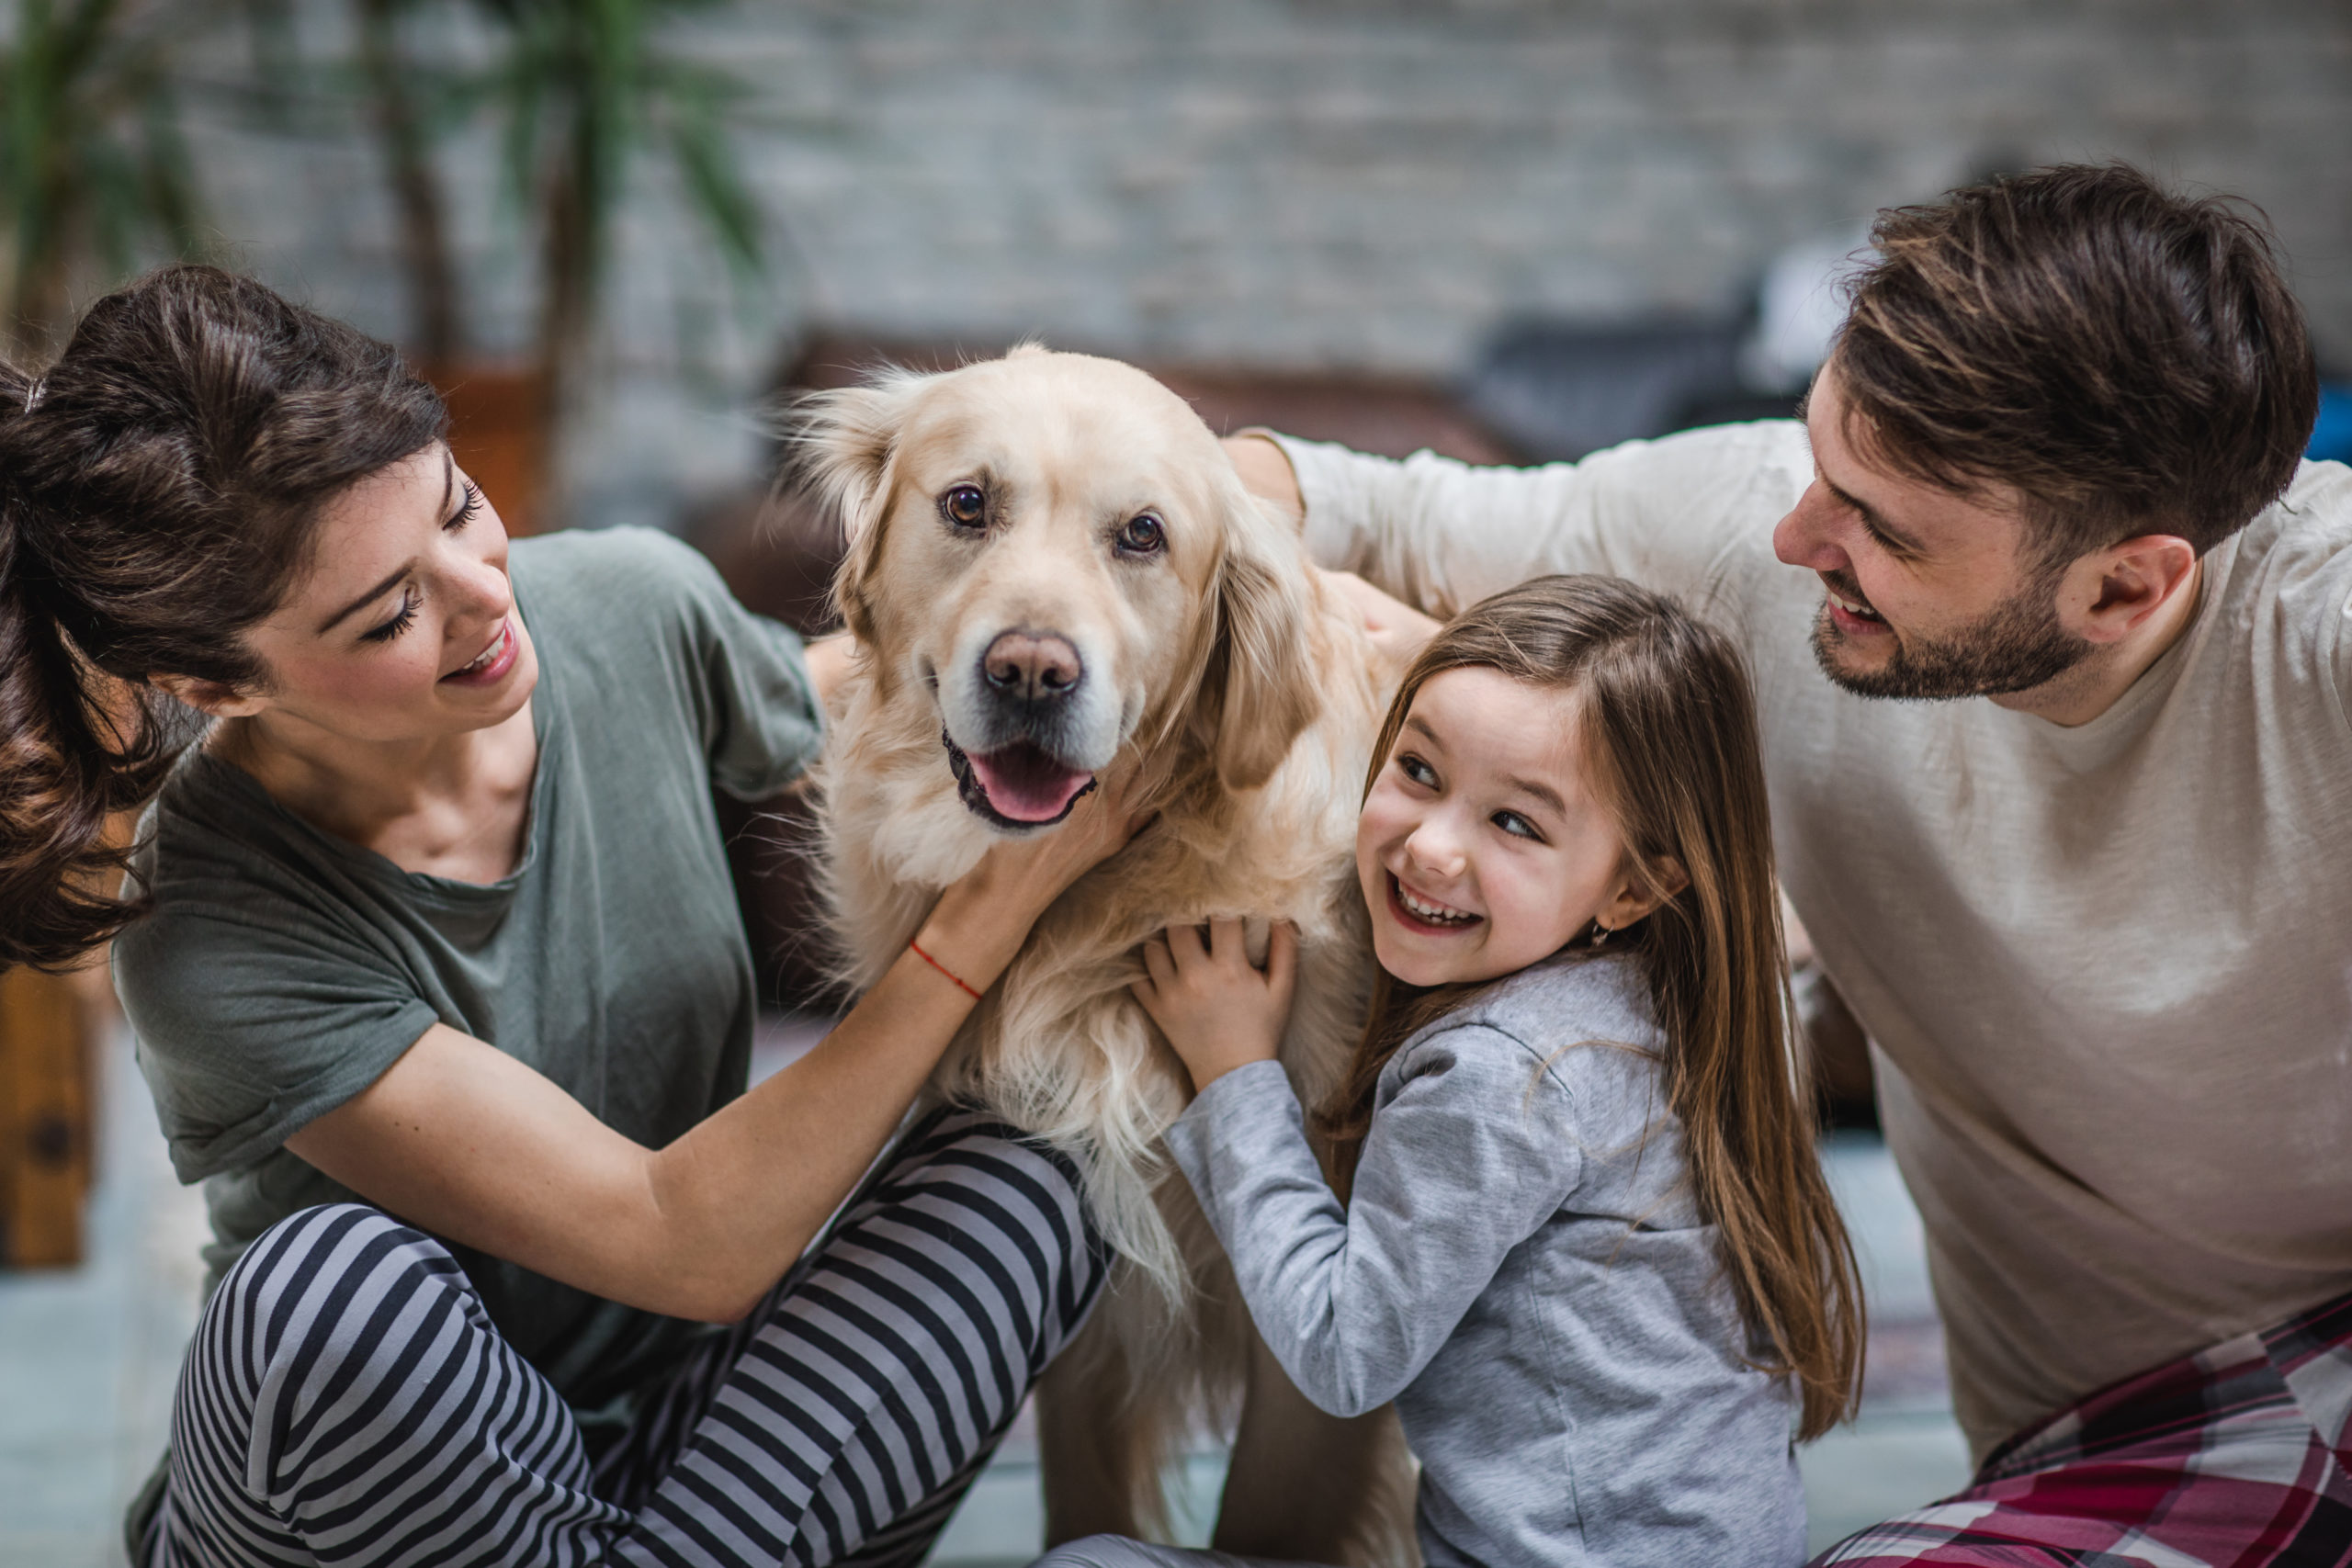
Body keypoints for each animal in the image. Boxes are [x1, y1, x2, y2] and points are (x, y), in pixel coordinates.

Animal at [799, 350, 1401, 1561]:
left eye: (1142, 535)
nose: (1032, 671)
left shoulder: (1316, 1332)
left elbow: (1266, 1509)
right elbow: (1080, 1488)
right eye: (966, 505)